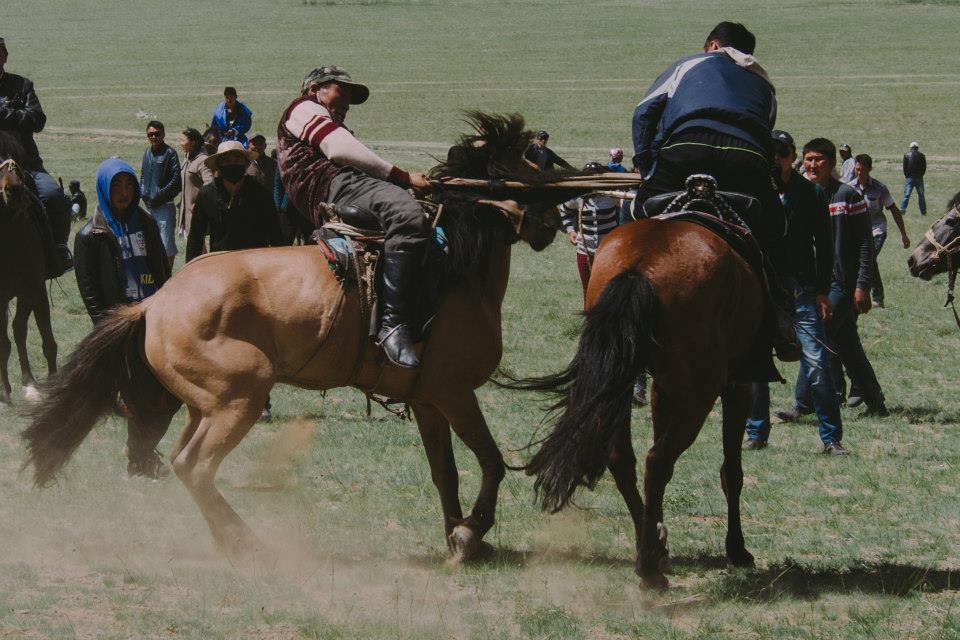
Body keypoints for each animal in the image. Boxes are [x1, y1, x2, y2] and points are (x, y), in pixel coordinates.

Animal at [22, 112, 568, 564]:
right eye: (528, 160)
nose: (553, 220)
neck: (452, 267)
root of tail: (155, 303)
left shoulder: (429, 399)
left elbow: (446, 473)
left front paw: (457, 535)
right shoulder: (456, 393)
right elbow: (492, 463)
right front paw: (472, 532)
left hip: (204, 405)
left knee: (181, 461)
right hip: (240, 397)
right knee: (196, 466)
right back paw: (247, 543)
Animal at [510, 189, 764, 592]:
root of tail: (639, 267)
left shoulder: (664, 384)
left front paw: (659, 533)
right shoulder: (738, 385)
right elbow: (732, 471)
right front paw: (737, 550)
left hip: (620, 380)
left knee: (625, 459)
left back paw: (651, 549)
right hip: (701, 390)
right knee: (657, 461)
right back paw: (649, 568)